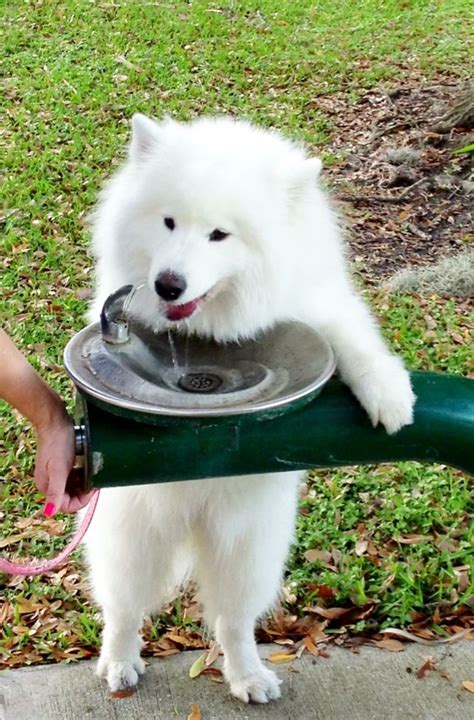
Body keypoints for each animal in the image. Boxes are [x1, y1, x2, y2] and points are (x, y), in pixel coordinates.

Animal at [85, 116, 414, 704]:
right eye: (168, 222)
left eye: (220, 235)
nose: (168, 284)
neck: (211, 320)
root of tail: (193, 519)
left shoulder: (318, 308)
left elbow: (355, 341)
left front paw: (389, 396)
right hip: (135, 535)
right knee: (123, 610)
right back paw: (119, 663)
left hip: (250, 548)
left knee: (233, 622)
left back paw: (249, 676)